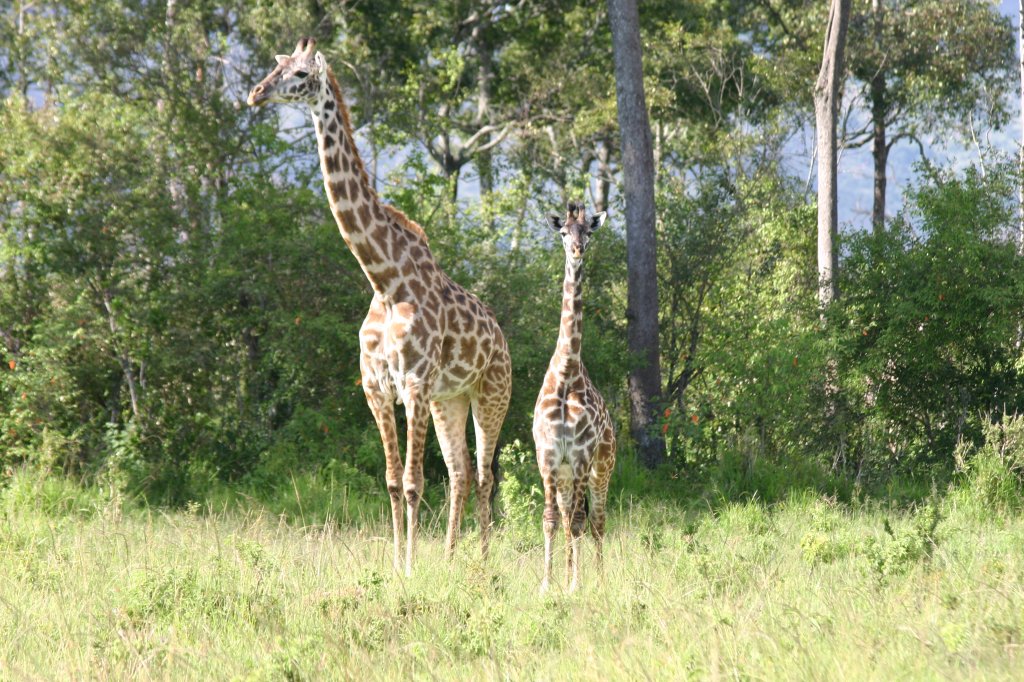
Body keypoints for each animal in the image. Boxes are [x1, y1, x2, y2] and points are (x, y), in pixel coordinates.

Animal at [248, 38, 512, 573]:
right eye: (275, 66)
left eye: (301, 74)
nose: (255, 94)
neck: (385, 279)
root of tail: (501, 338)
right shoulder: (376, 387)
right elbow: (392, 482)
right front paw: (394, 564)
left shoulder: (413, 384)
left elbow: (412, 483)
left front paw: (409, 567)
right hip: (449, 400)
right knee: (461, 473)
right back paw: (452, 558)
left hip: (491, 393)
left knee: (485, 473)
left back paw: (481, 561)